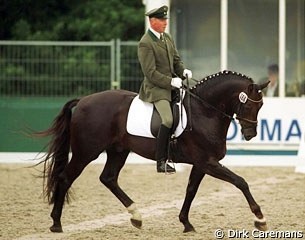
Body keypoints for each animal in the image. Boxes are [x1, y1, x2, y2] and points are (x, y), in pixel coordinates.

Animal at [36, 71, 268, 232]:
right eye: (249, 106)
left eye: (261, 106)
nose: (250, 134)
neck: (205, 112)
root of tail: (83, 100)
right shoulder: (207, 162)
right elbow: (240, 182)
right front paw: (260, 218)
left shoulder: (202, 164)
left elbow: (191, 190)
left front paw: (186, 223)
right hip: (86, 152)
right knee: (66, 178)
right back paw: (56, 223)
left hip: (118, 151)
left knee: (108, 178)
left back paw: (136, 216)